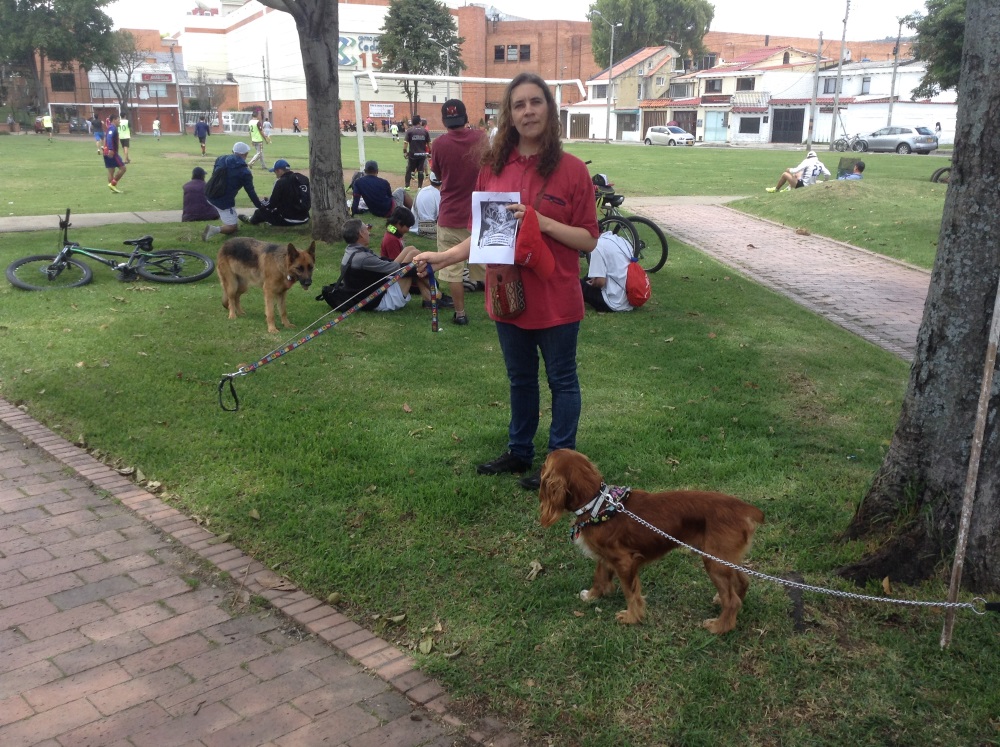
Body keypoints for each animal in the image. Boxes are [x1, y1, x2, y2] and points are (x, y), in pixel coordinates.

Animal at [540, 448, 764, 636]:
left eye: (543, 464)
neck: (598, 504)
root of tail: (744, 508)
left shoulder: (624, 561)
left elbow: (631, 593)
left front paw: (631, 617)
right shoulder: (605, 557)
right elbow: (599, 576)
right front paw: (593, 595)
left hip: (715, 562)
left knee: (732, 600)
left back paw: (720, 626)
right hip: (724, 558)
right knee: (743, 581)